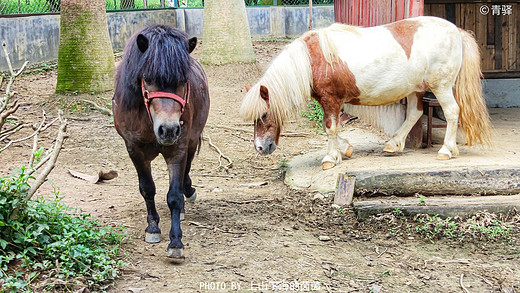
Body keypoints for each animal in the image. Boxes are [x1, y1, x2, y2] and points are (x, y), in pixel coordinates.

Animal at [113, 25, 209, 260]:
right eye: (147, 78)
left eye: (183, 81)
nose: (169, 129)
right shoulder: (134, 149)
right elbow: (147, 189)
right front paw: (153, 228)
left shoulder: (178, 148)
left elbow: (174, 196)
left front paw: (175, 242)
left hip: (191, 141)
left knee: (186, 172)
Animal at [240, 16, 492, 170]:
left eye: (264, 115)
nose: (260, 147)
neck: (312, 60)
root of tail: (457, 31)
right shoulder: (330, 102)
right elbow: (330, 127)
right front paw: (345, 149)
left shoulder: (331, 100)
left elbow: (330, 128)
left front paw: (331, 158)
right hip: (416, 89)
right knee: (414, 113)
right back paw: (393, 144)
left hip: (441, 86)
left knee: (452, 112)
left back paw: (446, 150)